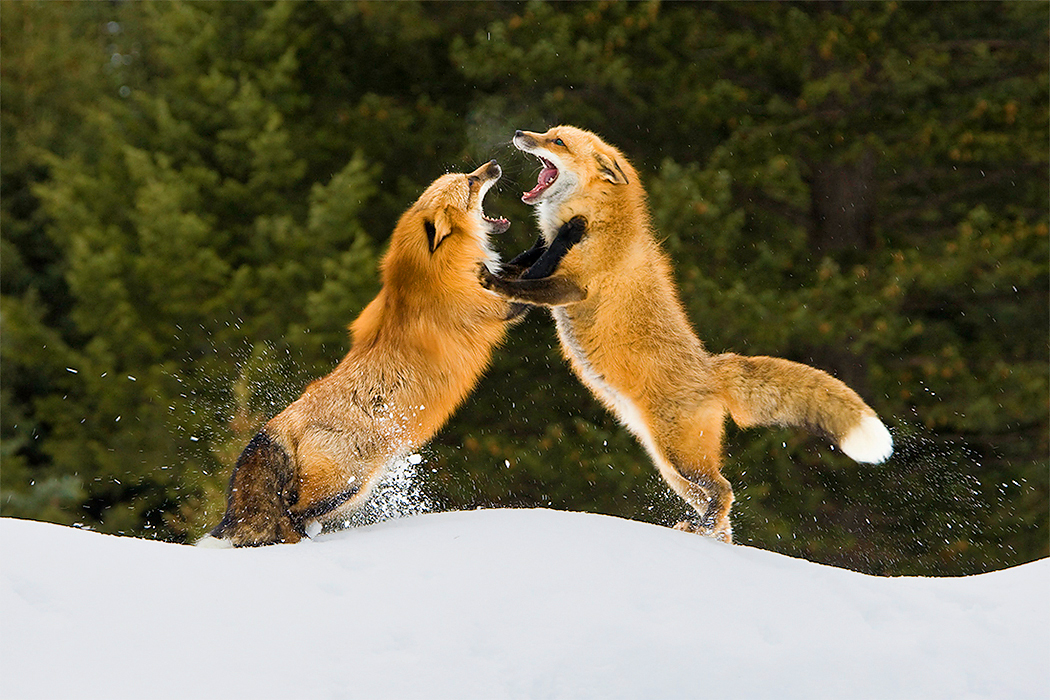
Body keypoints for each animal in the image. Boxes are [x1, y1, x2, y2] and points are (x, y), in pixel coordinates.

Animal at [203, 160, 570, 547]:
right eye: (471, 182)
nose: (494, 165)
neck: (434, 273)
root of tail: (282, 421)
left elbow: (523, 263)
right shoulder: (498, 306)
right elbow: (536, 269)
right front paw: (565, 232)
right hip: (344, 485)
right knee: (292, 512)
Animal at [480, 125, 894, 543]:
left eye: (558, 142)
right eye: (548, 133)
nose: (519, 132)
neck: (599, 218)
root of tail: (712, 368)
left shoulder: (572, 287)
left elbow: (524, 287)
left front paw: (496, 280)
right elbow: (522, 270)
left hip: (681, 458)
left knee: (725, 490)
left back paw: (702, 530)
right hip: (670, 466)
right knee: (717, 505)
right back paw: (710, 536)